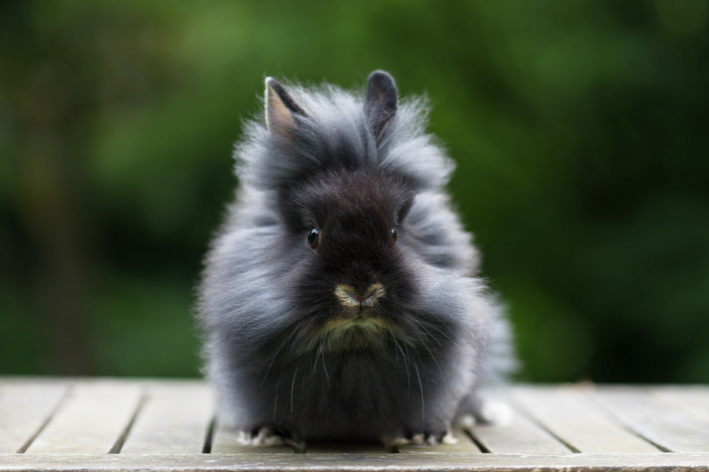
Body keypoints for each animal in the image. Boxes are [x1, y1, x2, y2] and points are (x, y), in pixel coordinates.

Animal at [199, 70, 516, 446]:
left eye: (394, 232)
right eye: (312, 235)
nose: (360, 292)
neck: (353, 344)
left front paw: (426, 435)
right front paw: (265, 433)